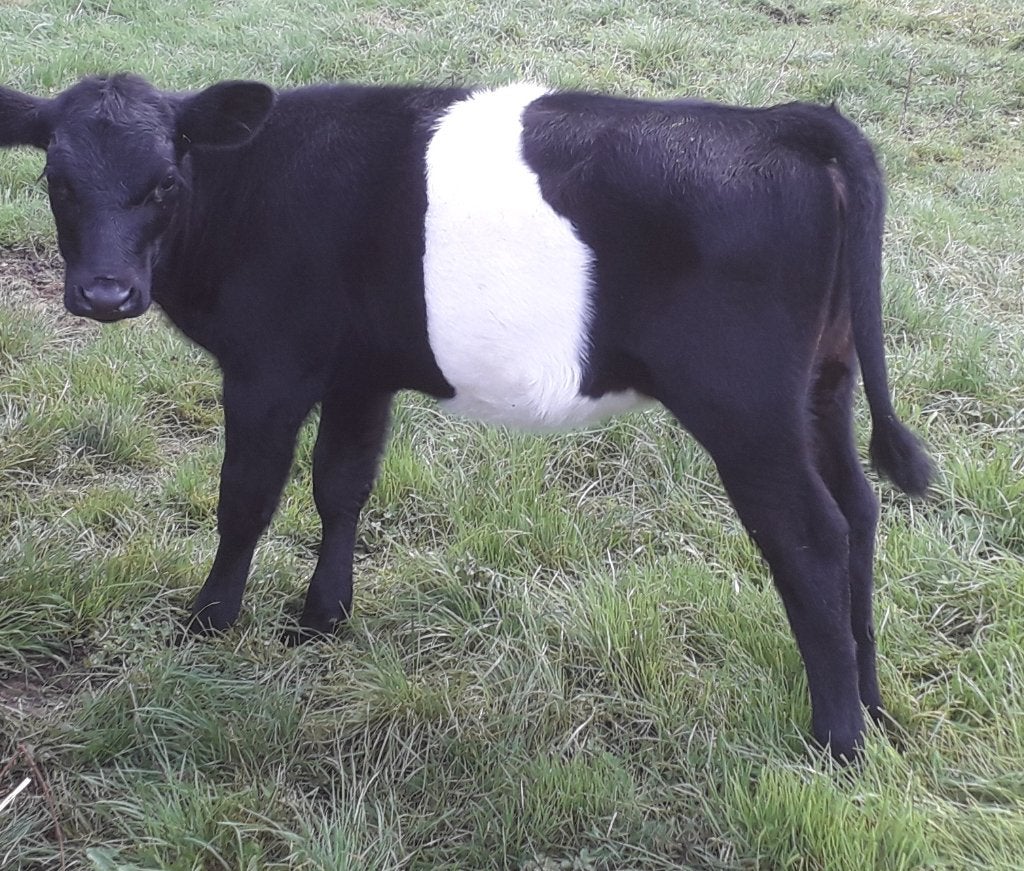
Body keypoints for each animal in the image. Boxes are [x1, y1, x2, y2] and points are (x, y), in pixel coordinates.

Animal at [0, 74, 932, 760]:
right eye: (57, 181)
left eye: (164, 182)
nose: (105, 294)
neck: (248, 186)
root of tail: (787, 122)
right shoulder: (358, 374)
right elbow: (341, 485)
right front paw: (321, 619)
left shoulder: (268, 368)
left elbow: (246, 498)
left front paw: (207, 622)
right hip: (823, 388)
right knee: (860, 512)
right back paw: (875, 707)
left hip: (746, 406)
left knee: (811, 536)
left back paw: (837, 740)